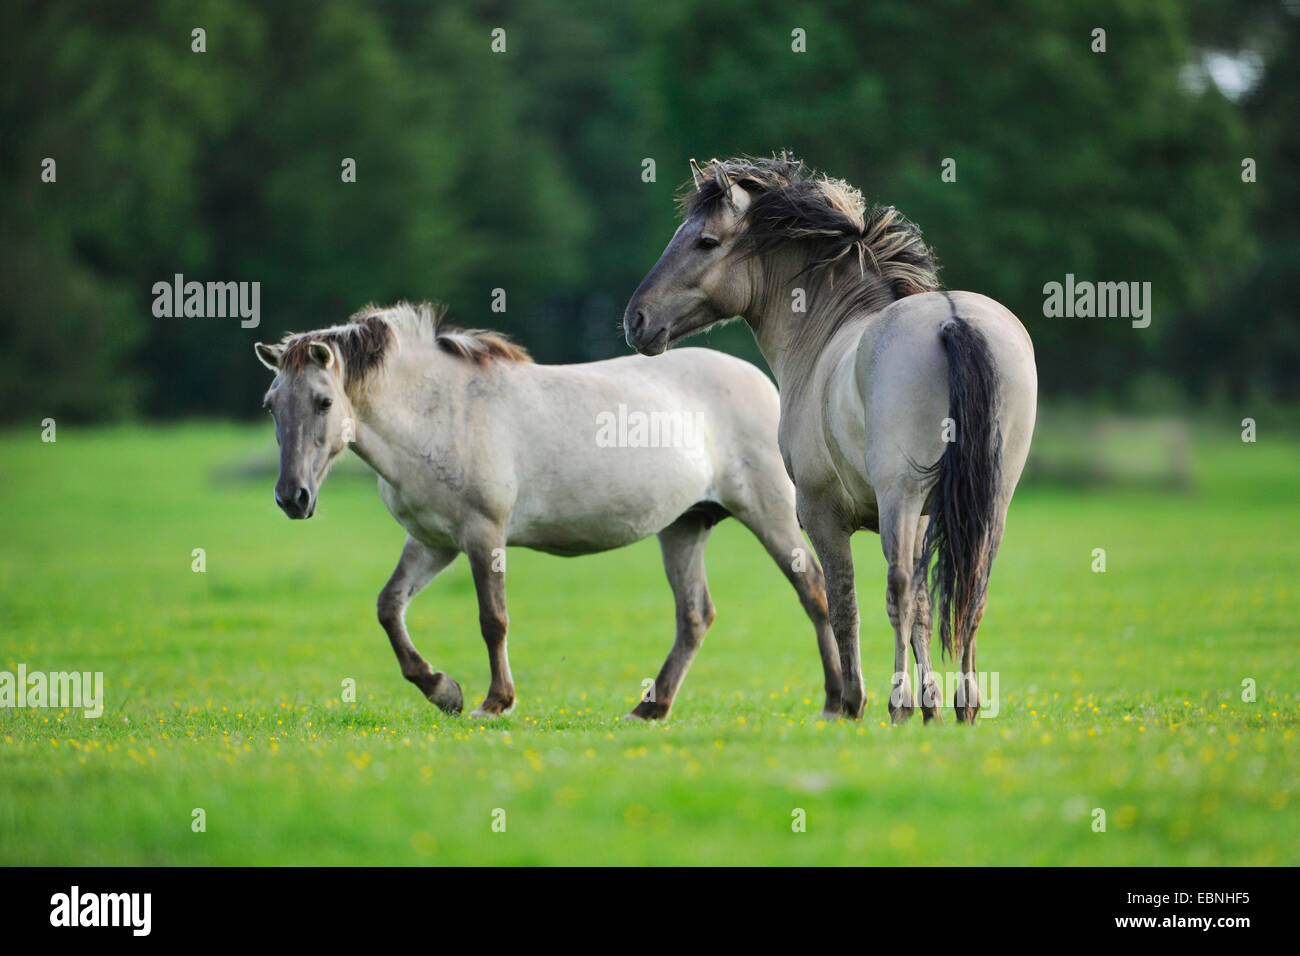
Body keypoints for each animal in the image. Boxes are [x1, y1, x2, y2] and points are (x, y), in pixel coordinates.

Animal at [253, 303, 842, 723]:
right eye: (271, 405)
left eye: (324, 402)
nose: (292, 497)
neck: (442, 411)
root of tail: (764, 383)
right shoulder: (434, 542)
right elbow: (389, 607)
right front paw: (442, 690)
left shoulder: (483, 535)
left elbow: (493, 620)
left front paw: (495, 702)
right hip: (685, 525)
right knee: (695, 616)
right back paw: (650, 707)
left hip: (769, 511)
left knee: (813, 590)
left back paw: (838, 701)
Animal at [624, 157, 1040, 723]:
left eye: (706, 242)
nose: (636, 319)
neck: (825, 333)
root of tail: (953, 319)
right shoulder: (930, 514)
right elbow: (926, 610)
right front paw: (932, 706)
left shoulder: (822, 516)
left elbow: (846, 605)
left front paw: (850, 703)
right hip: (991, 501)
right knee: (972, 588)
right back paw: (966, 705)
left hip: (900, 497)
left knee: (898, 590)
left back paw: (896, 703)